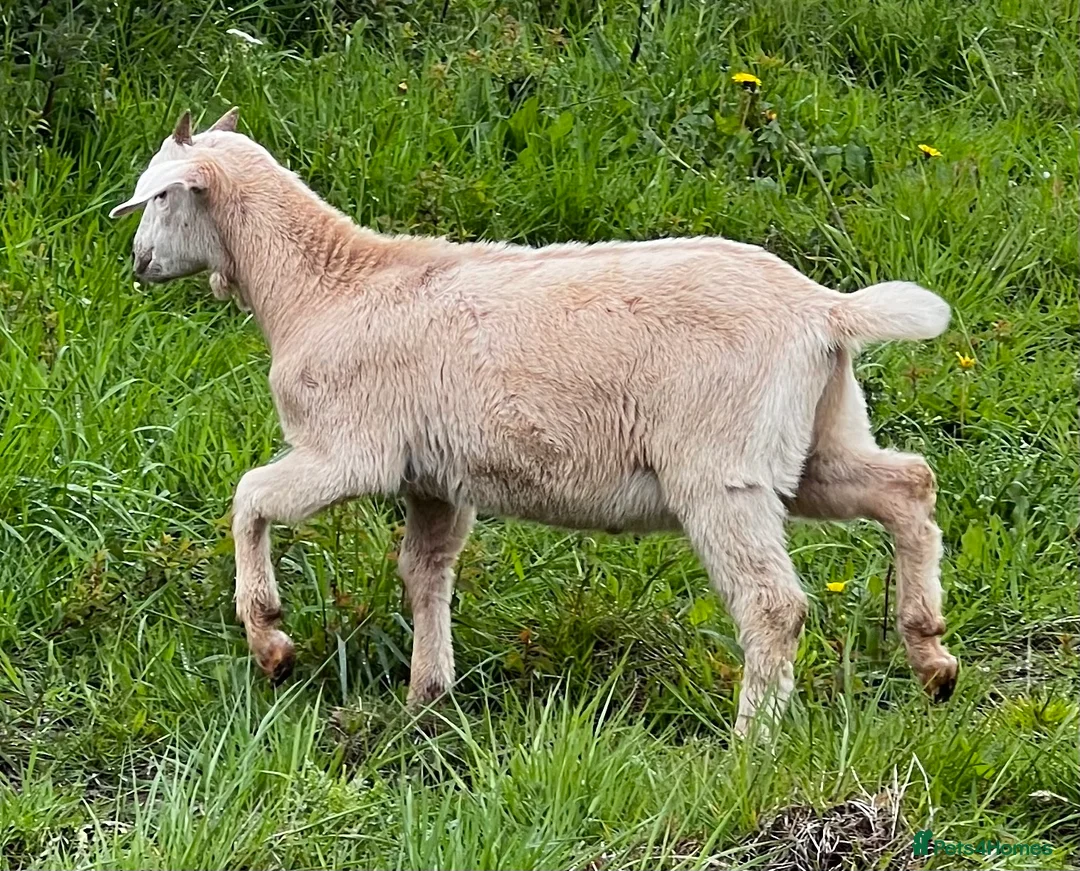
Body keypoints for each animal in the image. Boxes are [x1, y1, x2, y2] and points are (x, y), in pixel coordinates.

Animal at [109, 108, 958, 736]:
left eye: (159, 197)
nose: (137, 263)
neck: (321, 288)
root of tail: (825, 311)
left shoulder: (350, 449)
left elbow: (250, 496)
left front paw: (271, 640)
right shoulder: (434, 476)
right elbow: (424, 570)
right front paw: (426, 695)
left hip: (722, 469)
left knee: (774, 603)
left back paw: (752, 739)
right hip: (813, 441)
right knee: (906, 483)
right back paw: (932, 657)